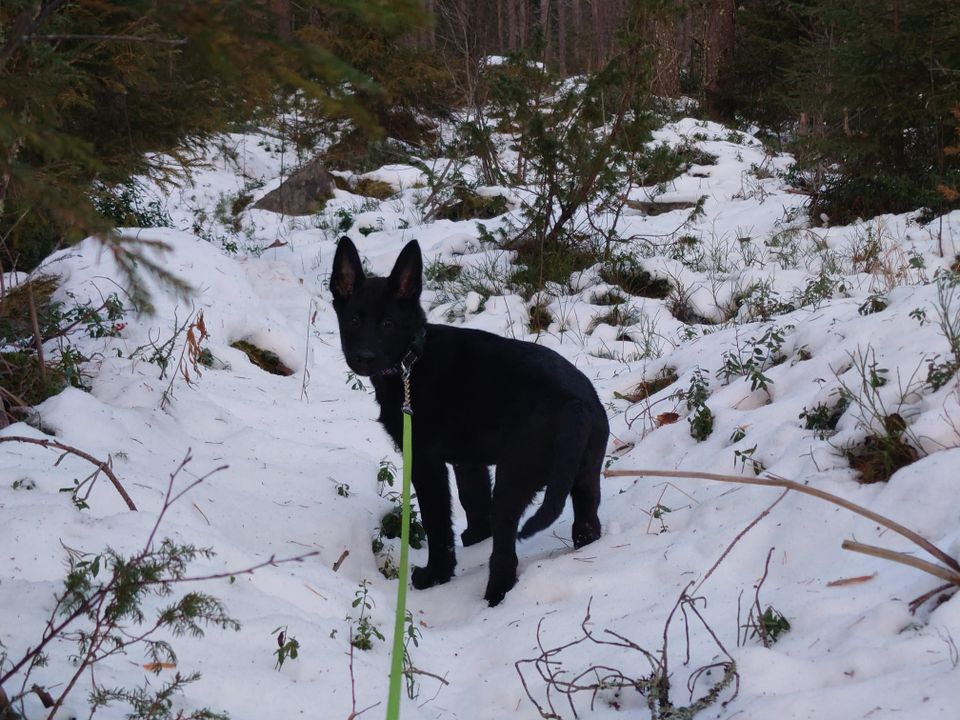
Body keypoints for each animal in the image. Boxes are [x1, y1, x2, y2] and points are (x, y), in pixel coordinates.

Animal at [330, 238, 608, 608]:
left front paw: (436, 575)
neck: (411, 360)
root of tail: (575, 403)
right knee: (587, 523)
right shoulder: (468, 460)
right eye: (353, 321)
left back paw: (493, 598)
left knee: (505, 554)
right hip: (585, 475)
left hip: (513, 479)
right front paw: (476, 536)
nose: (363, 358)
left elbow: (438, 523)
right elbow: (473, 497)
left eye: (388, 324)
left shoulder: (426, 462)